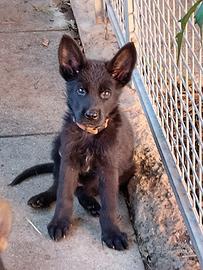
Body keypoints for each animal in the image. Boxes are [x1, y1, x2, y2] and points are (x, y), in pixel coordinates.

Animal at [10, 34, 136, 250]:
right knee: (60, 184)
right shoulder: (68, 160)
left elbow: (109, 204)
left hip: (126, 169)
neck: (89, 135)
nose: (91, 115)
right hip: (57, 148)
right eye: (80, 90)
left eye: (106, 93)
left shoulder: (109, 169)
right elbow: (64, 194)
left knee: (84, 189)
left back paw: (90, 203)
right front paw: (59, 223)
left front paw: (112, 233)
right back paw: (43, 198)